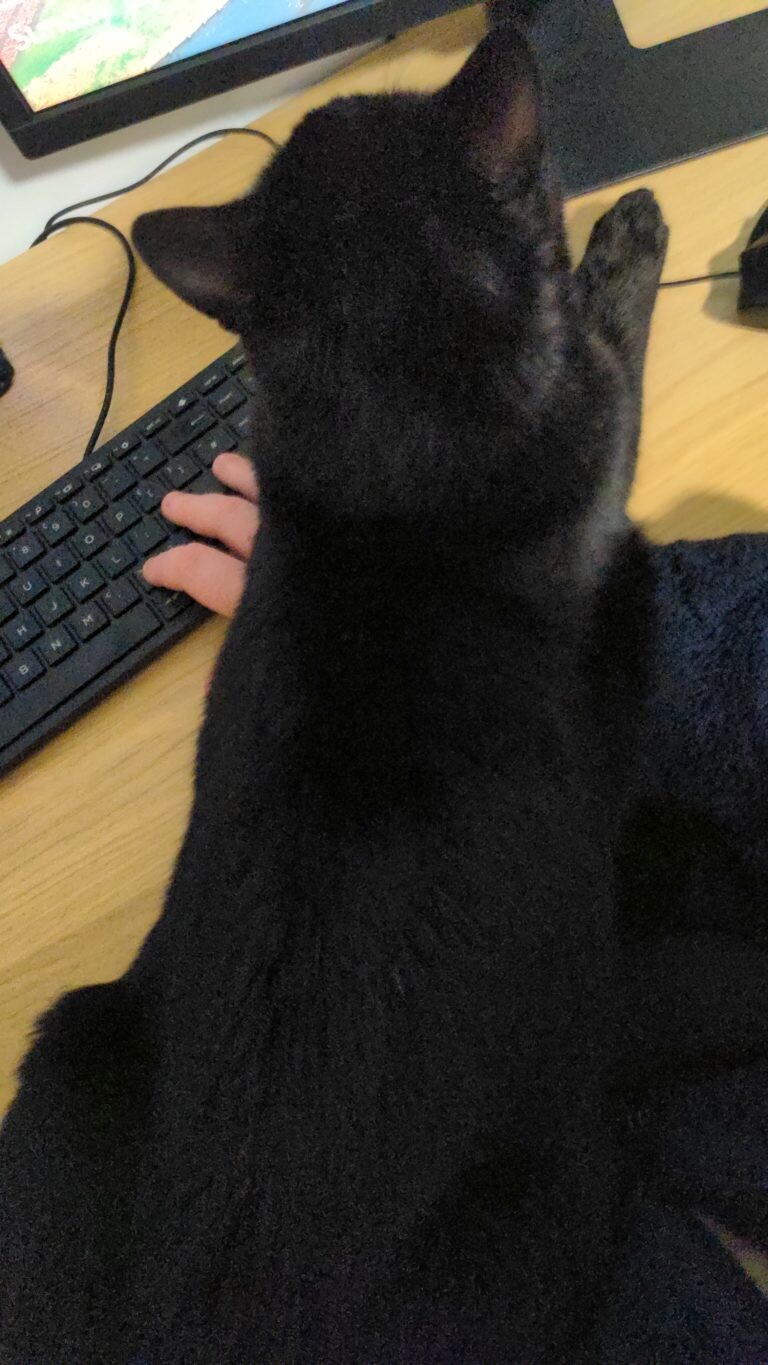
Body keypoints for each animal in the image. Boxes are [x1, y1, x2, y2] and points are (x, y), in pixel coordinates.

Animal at [0, 21, 667, 1364]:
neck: (384, 408)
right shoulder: (594, 457)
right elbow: (613, 348)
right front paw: (622, 242)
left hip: (71, 1048)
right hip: (571, 1174)